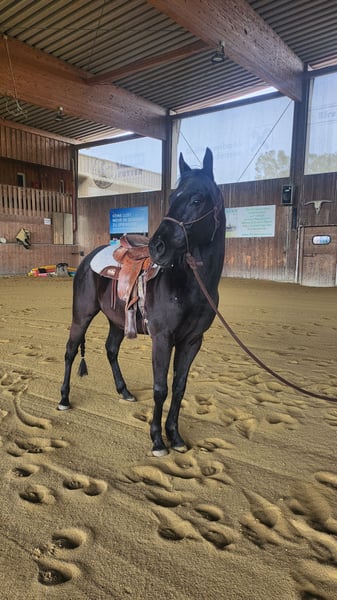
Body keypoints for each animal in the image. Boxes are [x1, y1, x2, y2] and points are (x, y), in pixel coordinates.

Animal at [59, 149, 224, 454]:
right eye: (172, 198)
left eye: (197, 200)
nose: (157, 246)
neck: (190, 284)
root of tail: (89, 258)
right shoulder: (162, 338)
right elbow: (161, 388)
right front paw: (158, 440)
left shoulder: (192, 341)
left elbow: (179, 387)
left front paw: (176, 437)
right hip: (82, 314)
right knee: (70, 351)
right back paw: (63, 399)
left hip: (116, 320)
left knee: (111, 349)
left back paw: (124, 391)